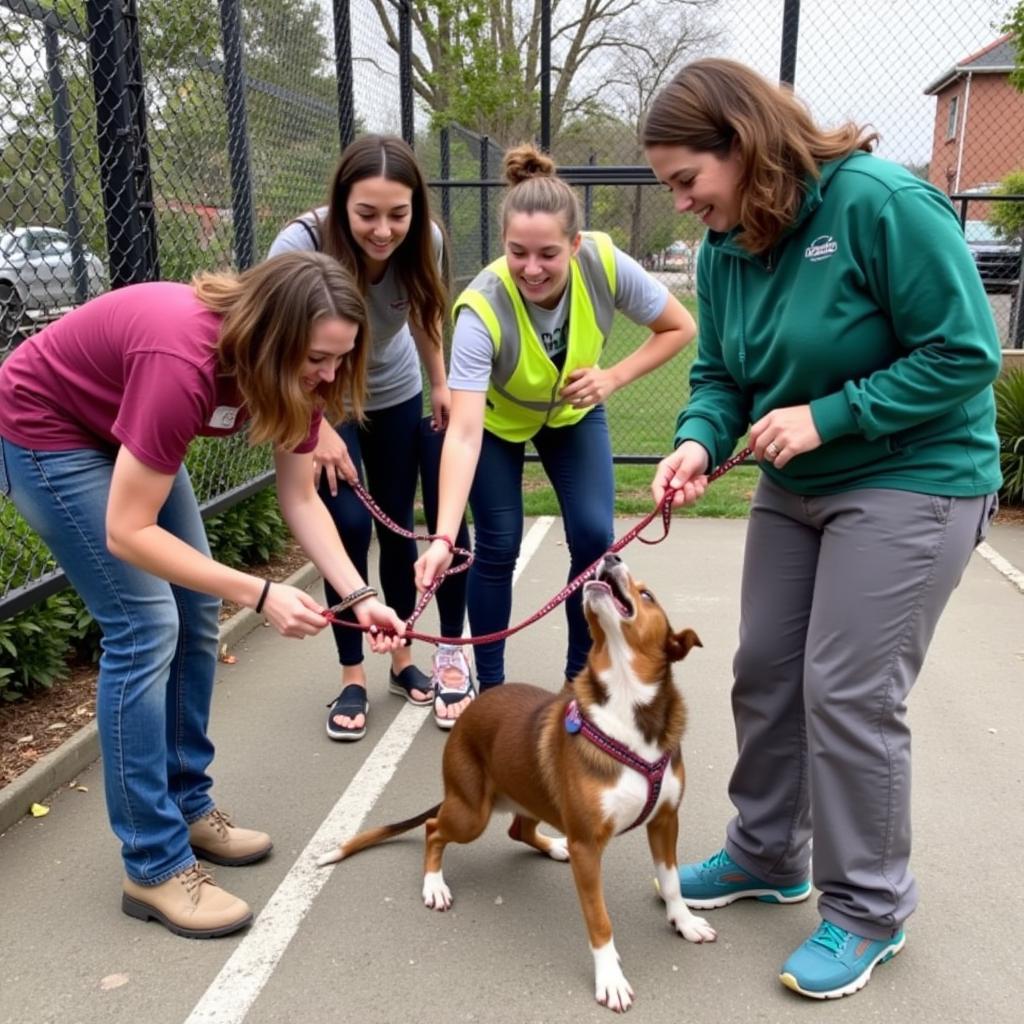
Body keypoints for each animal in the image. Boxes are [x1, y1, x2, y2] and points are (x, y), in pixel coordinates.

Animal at [315, 552, 716, 1007]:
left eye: (647, 596)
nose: (610, 557)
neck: (627, 704)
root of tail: (470, 712)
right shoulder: (588, 844)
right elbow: (600, 921)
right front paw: (610, 977)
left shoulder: (664, 821)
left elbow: (671, 882)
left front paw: (684, 921)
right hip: (471, 813)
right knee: (435, 828)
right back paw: (434, 885)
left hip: (529, 794)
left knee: (517, 830)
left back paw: (553, 847)